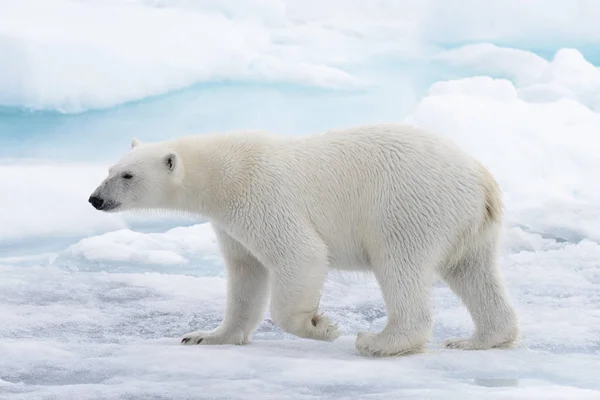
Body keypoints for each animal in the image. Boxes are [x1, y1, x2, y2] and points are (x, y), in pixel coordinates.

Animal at [86, 122, 516, 356]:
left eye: (127, 175)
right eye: (109, 169)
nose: (95, 199)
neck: (223, 174)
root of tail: (481, 178)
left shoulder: (262, 196)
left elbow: (300, 254)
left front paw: (321, 326)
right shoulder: (230, 222)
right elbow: (245, 273)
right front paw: (205, 336)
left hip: (408, 205)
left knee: (399, 263)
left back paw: (379, 341)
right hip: (471, 224)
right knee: (473, 271)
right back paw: (481, 339)